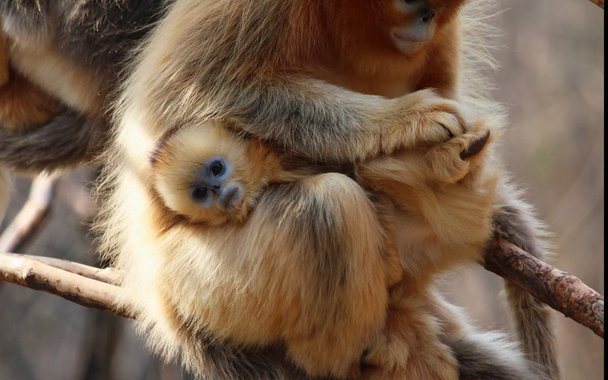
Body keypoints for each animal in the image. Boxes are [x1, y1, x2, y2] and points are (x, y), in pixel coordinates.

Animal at [0, 0, 560, 380]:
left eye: (438, 8)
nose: (424, 20)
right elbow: (196, 91)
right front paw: (407, 120)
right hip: (204, 284)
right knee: (325, 209)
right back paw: (345, 355)